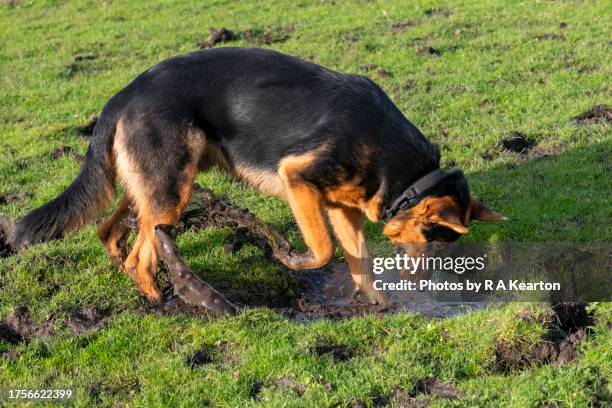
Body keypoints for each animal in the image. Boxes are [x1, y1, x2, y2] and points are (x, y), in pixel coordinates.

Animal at [11, 47, 504, 302]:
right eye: (429, 241)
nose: (421, 286)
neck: (408, 174)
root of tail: (123, 93)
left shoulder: (342, 209)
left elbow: (359, 259)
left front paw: (376, 306)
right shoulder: (298, 181)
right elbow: (324, 250)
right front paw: (291, 258)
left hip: (153, 188)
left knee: (109, 228)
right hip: (172, 190)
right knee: (141, 254)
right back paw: (161, 301)